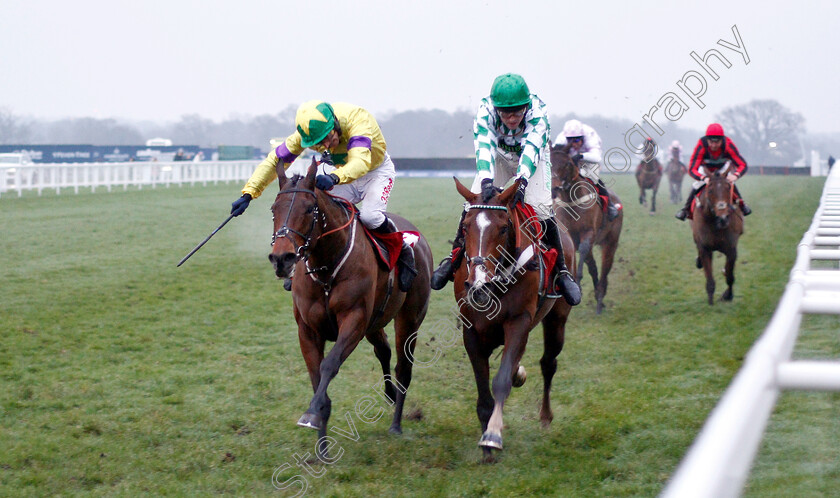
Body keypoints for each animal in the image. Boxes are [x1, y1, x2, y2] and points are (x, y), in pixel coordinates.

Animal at [450, 177, 576, 462]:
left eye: (503, 228)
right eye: (465, 226)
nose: (478, 284)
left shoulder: (518, 321)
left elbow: (501, 380)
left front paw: (492, 435)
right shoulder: (471, 330)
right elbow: (484, 389)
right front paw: (486, 441)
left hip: (556, 318)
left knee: (548, 363)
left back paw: (545, 415)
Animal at [552, 146, 624, 314]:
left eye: (567, 164)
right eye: (549, 161)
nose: (554, 187)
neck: (571, 201)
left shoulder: (588, 234)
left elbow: (584, 254)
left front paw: (578, 284)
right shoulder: (570, 237)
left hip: (610, 243)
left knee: (604, 270)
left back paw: (600, 299)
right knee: (593, 267)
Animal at [692, 162, 744, 304]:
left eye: (728, 188)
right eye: (710, 190)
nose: (723, 218)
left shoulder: (731, 249)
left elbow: (730, 276)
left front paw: (728, 295)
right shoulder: (705, 248)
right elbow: (709, 279)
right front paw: (710, 302)